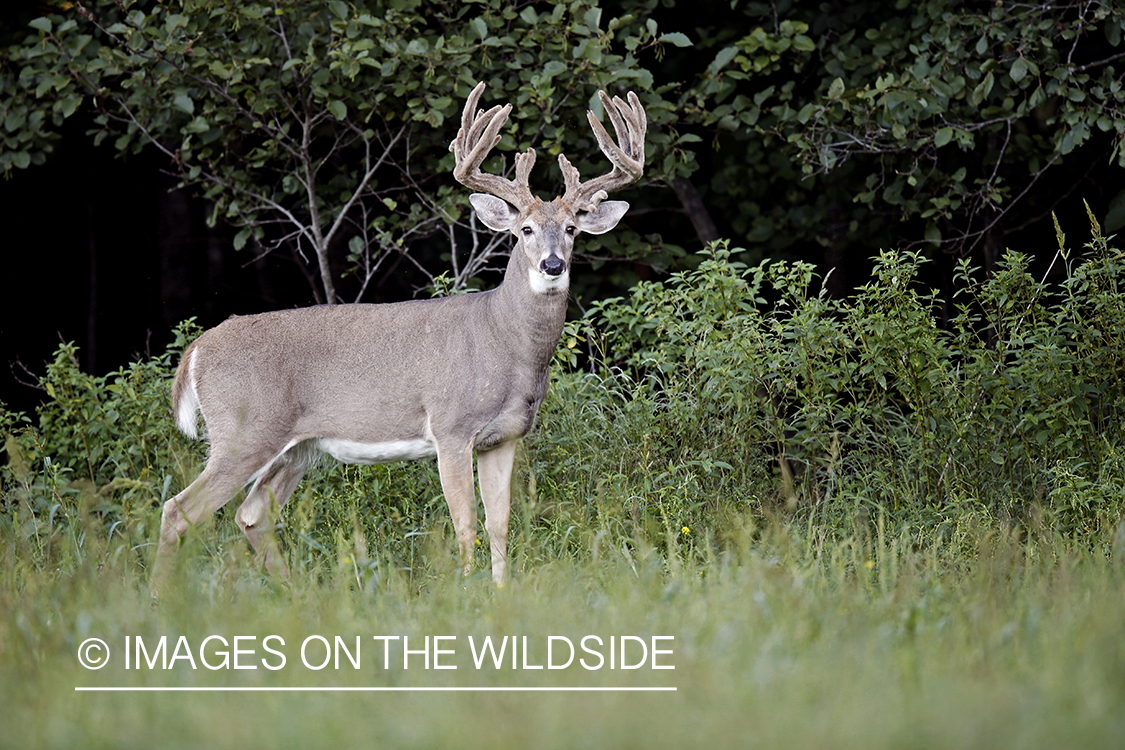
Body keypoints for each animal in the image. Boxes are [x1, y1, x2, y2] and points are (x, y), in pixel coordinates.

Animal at [153, 82, 648, 593]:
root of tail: (196, 350)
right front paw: (465, 593)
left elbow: (500, 523)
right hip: (242, 432)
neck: (504, 342)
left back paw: (291, 593)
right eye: (524, 229)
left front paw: (499, 594)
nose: (553, 264)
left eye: (571, 228)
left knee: (252, 516)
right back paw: (160, 596)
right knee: (178, 511)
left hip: (296, 448)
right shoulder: (451, 426)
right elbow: (465, 523)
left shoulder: (504, 437)